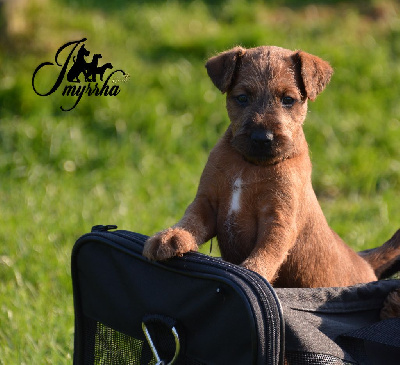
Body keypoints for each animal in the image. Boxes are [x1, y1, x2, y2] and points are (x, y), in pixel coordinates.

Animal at [143, 45, 400, 288]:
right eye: (242, 98)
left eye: (288, 100)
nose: (262, 137)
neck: (249, 166)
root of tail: (367, 264)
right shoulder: (208, 203)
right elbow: (191, 220)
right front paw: (171, 236)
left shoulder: (278, 221)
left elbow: (266, 254)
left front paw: (252, 274)